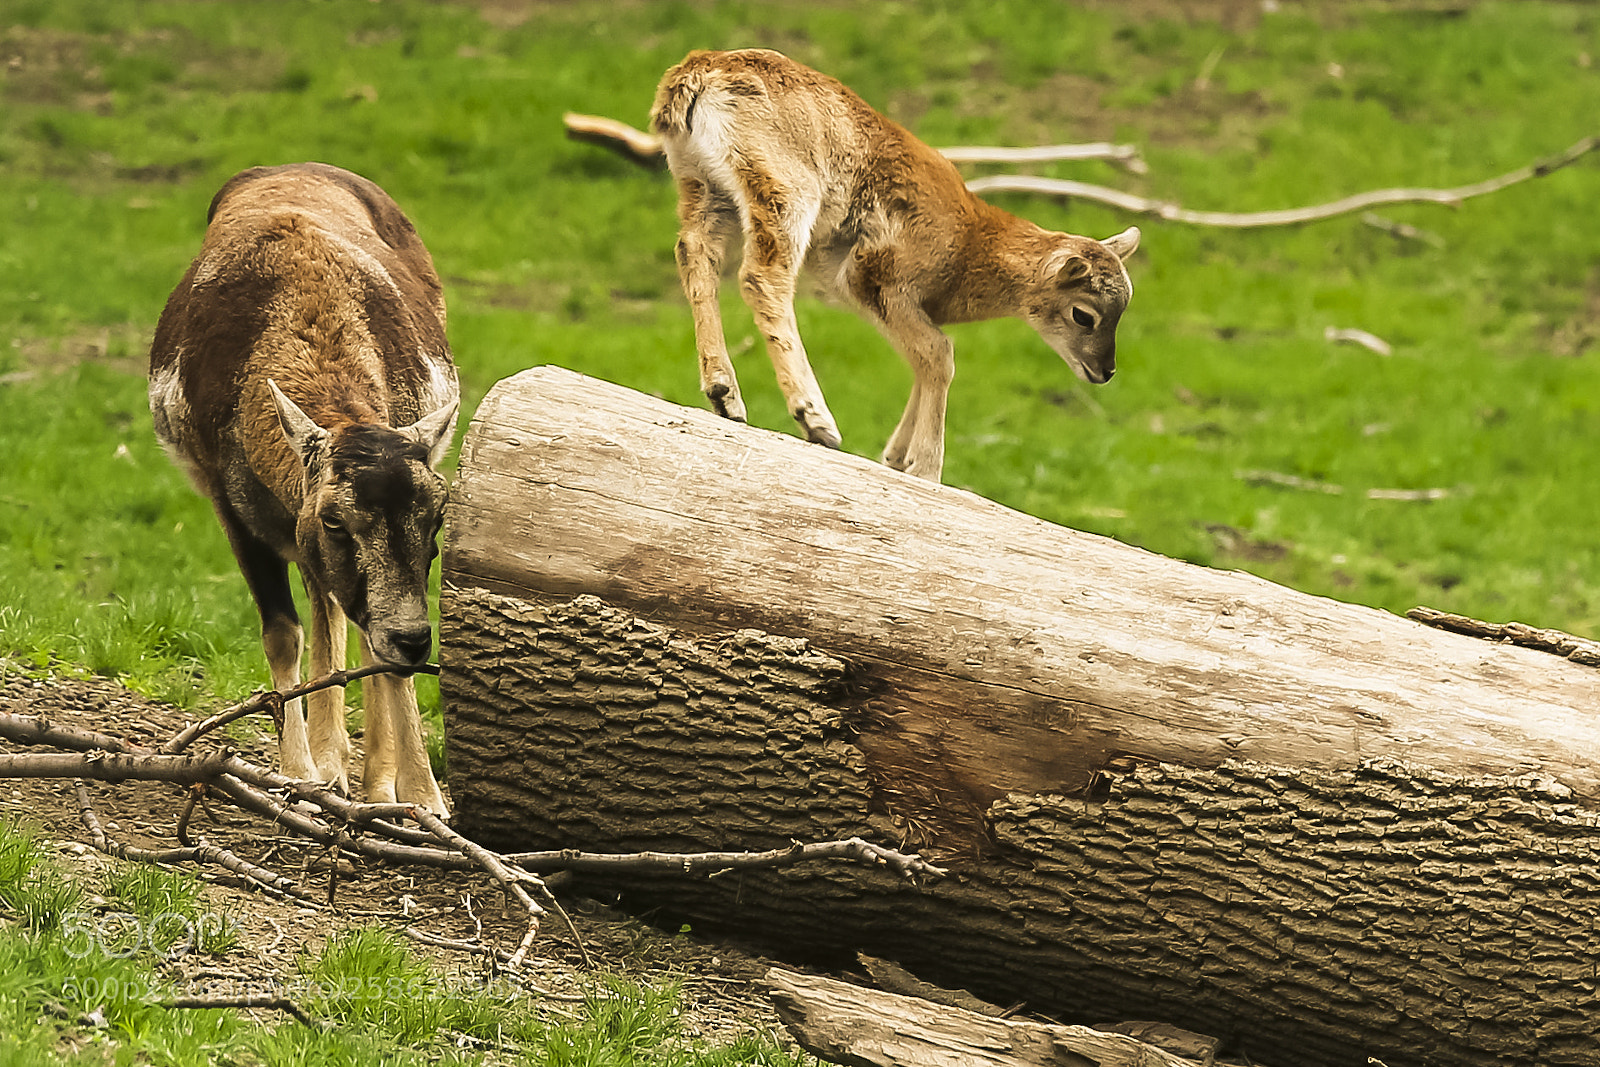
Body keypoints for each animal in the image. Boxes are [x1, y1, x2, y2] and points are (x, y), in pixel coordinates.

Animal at [148, 162, 459, 815]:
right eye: (335, 519)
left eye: (438, 517)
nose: (416, 638)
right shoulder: (233, 505)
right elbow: (282, 633)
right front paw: (301, 775)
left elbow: (371, 643)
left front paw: (425, 801)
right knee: (330, 611)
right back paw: (335, 767)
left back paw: (372, 783)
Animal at [650, 48, 1140, 483]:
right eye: (1084, 315)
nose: (1105, 371)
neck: (969, 245)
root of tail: (698, 71)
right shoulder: (879, 280)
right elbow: (940, 353)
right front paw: (927, 469)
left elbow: (925, 358)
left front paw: (896, 458)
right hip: (784, 190)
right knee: (761, 278)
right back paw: (816, 420)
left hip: (704, 187)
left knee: (694, 254)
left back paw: (724, 395)